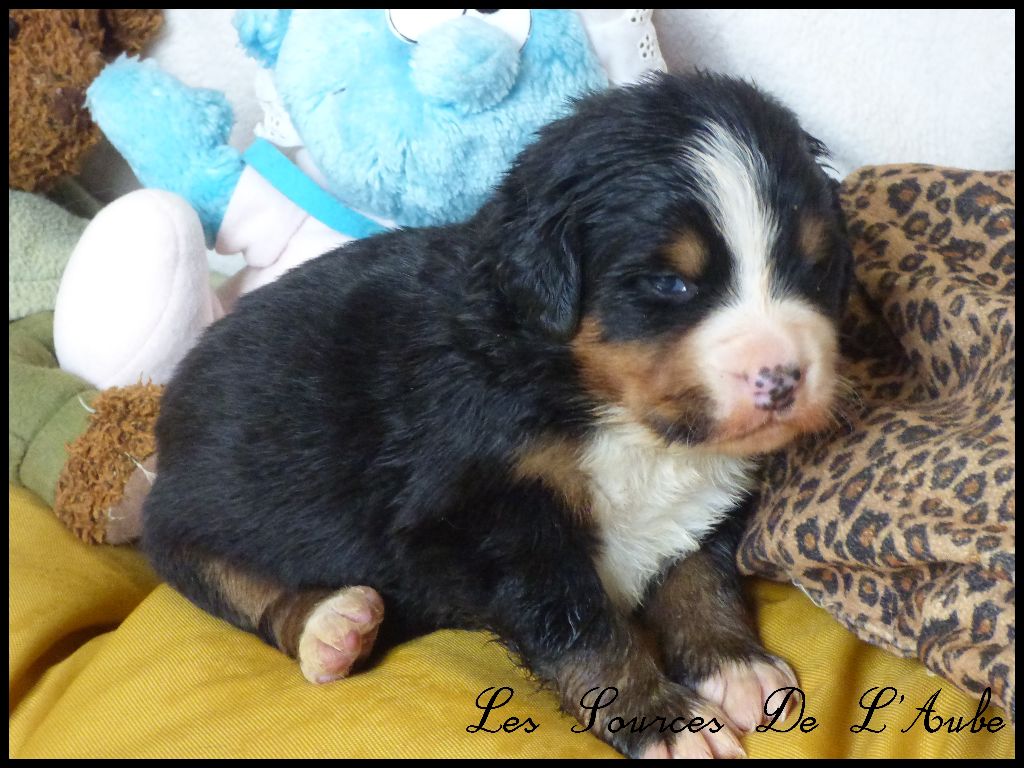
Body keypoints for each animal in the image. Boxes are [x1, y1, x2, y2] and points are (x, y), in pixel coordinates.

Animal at [142, 72, 852, 759]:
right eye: (670, 284)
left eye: (814, 269)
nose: (783, 377)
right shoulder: (491, 517)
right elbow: (582, 626)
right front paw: (662, 720)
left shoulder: (697, 500)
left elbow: (699, 573)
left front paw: (734, 663)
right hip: (186, 520)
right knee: (245, 592)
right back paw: (331, 627)